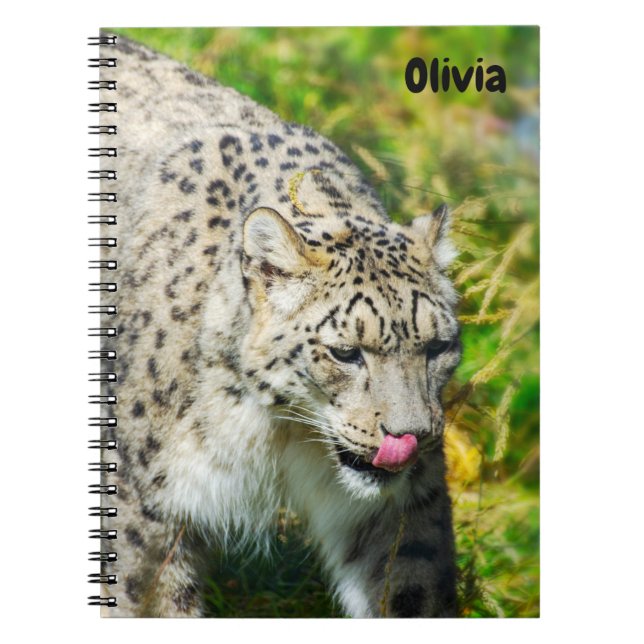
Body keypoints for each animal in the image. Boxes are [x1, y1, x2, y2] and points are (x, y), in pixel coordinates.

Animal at [97, 34, 462, 618]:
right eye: (345, 352)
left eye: (438, 346)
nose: (412, 437)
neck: (284, 434)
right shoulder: (145, 502)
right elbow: (143, 597)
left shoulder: (403, 503)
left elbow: (412, 584)